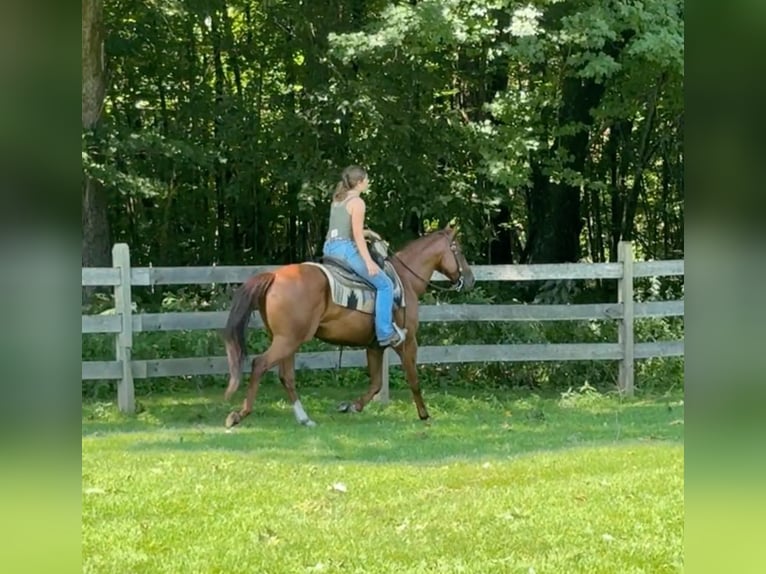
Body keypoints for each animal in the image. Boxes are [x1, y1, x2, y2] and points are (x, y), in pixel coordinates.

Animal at [222, 225, 474, 428]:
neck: (406, 280)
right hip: (287, 340)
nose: (470, 279)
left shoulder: (375, 346)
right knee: (259, 364)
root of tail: (274, 276)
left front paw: (352, 406)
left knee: (287, 377)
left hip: (287, 340)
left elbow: (376, 383)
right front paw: (424, 414)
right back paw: (239, 414)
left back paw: (304, 419)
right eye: (459, 251)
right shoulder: (408, 341)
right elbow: (413, 379)